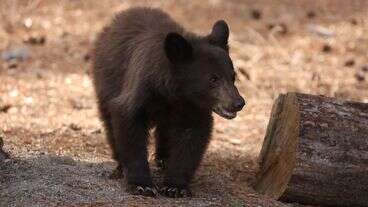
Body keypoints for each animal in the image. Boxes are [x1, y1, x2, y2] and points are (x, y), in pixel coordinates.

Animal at [92, 6, 246, 197]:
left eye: (233, 77)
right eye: (213, 79)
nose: (239, 103)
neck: (175, 94)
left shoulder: (193, 108)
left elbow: (191, 139)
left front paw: (175, 186)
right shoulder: (142, 89)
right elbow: (128, 121)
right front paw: (141, 184)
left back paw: (164, 159)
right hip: (105, 83)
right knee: (109, 123)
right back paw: (121, 165)